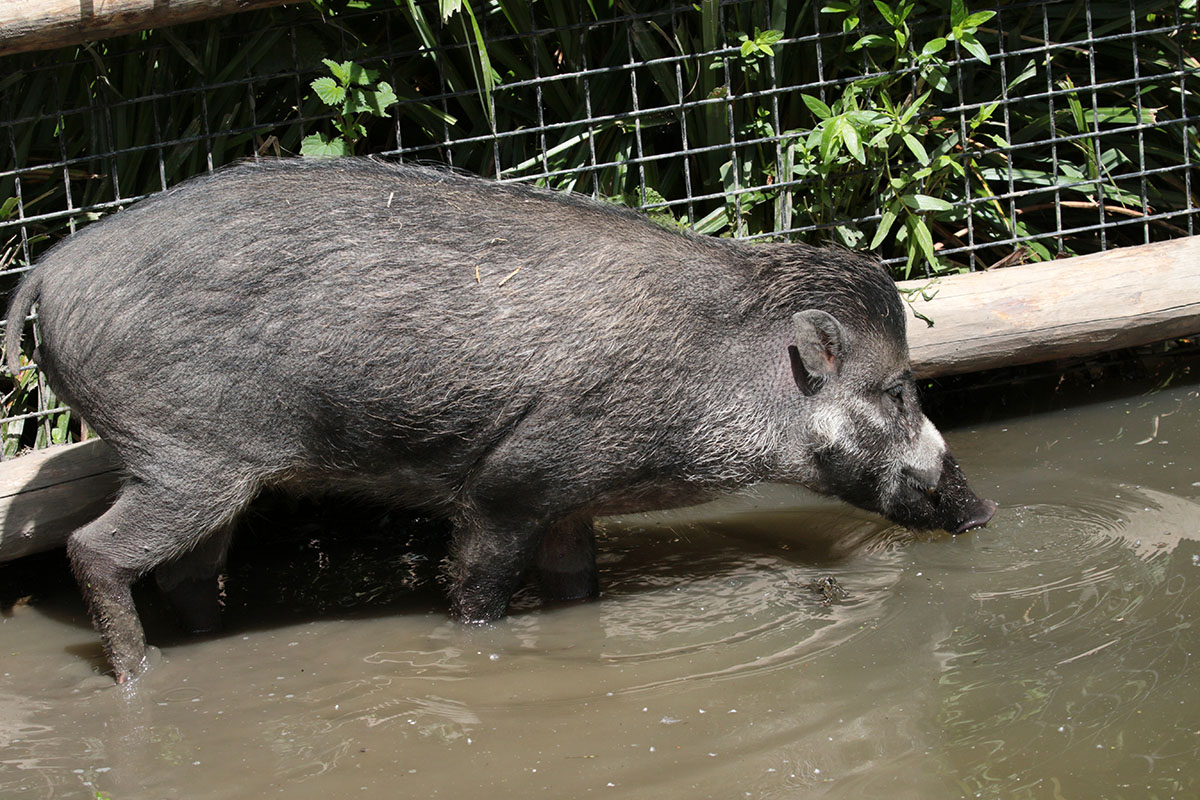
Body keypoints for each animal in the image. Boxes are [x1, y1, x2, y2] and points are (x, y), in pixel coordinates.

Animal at [2, 158, 993, 681]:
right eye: (898, 391)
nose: (983, 509)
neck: (722, 375)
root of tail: (50, 269)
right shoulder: (512, 481)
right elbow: (478, 590)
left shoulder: (572, 500)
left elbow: (576, 584)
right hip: (186, 456)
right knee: (94, 550)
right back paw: (141, 675)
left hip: (216, 477)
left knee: (182, 572)